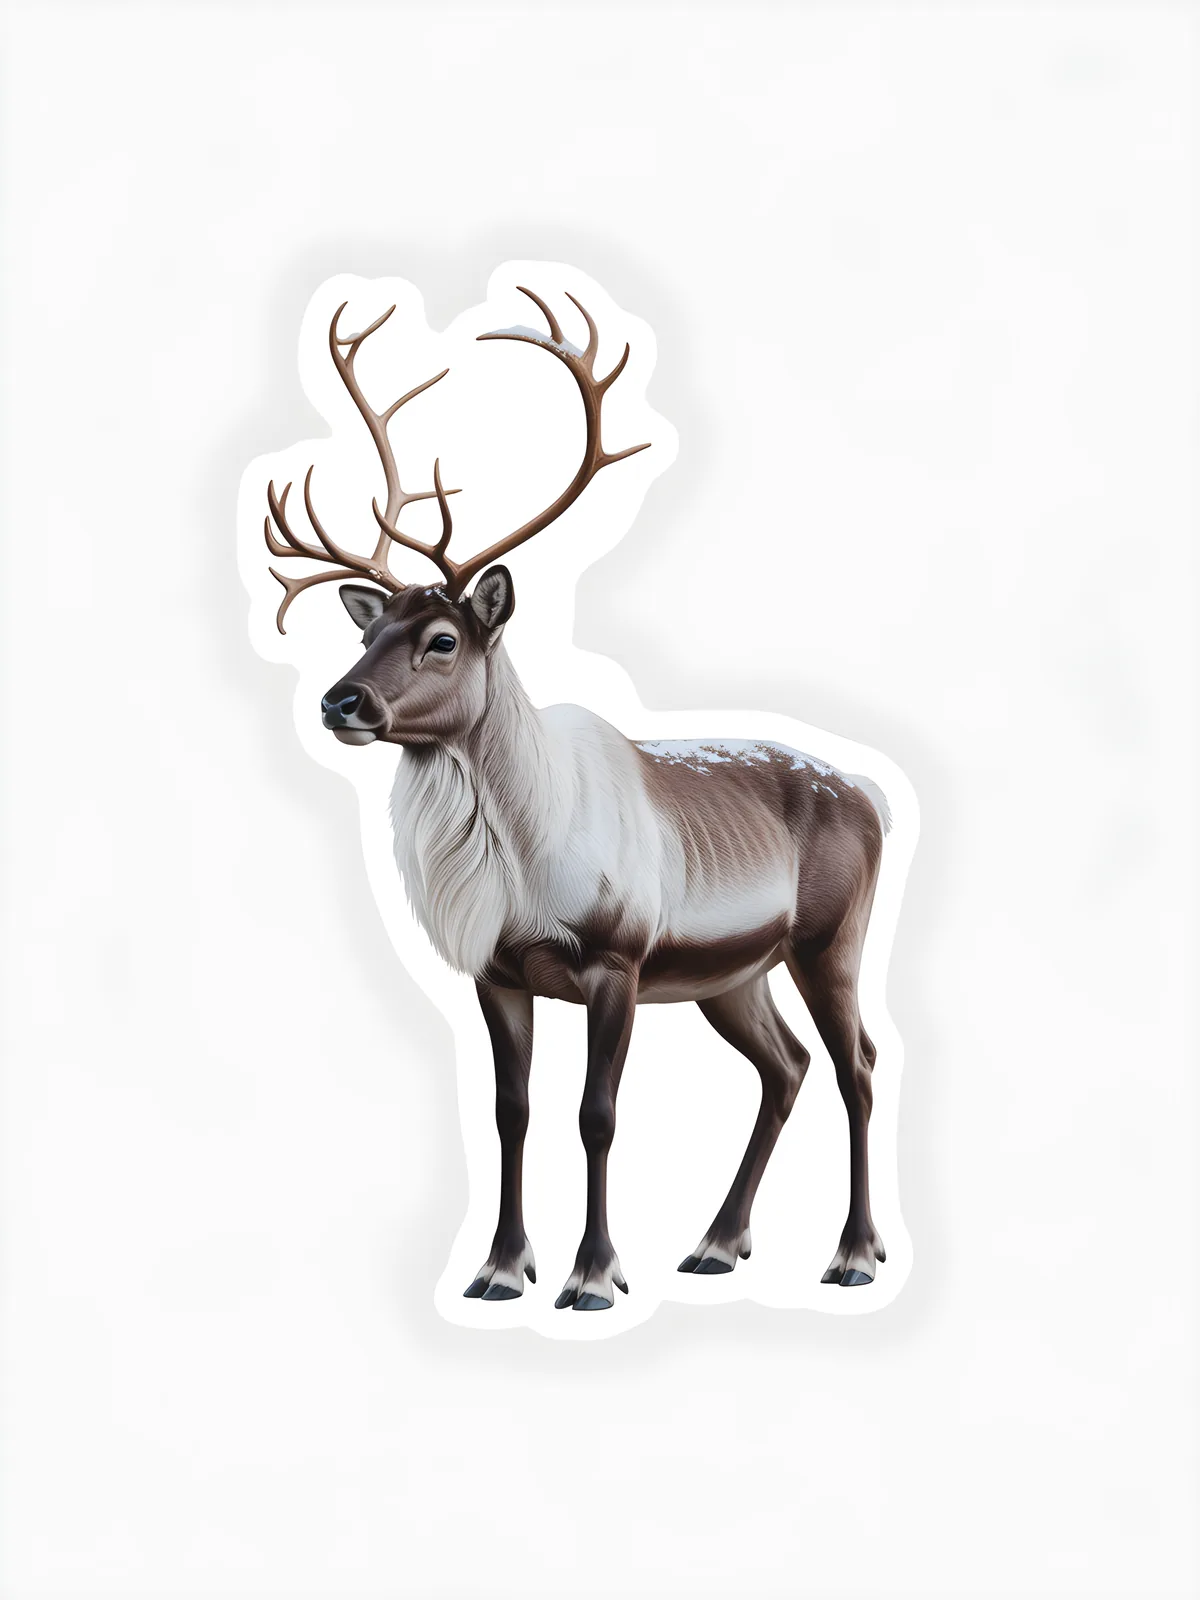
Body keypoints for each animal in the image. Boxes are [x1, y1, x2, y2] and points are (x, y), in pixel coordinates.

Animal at [263, 287, 891, 1311]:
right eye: (369, 631)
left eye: (442, 638)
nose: (340, 702)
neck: (519, 865)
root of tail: (877, 794)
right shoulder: (495, 972)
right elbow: (510, 1111)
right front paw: (499, 1267)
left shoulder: (617, 958)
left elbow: (598, 1113)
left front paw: (592, 1274)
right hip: (735, 975)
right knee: (786, 1067)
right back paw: (717, 1243)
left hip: (829, 938)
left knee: (858, 1065)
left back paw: (852, 1253)